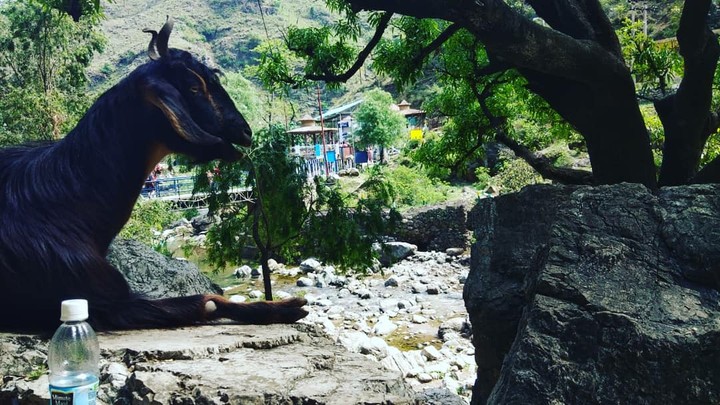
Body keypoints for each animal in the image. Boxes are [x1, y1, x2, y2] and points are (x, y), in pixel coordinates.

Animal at [0, 17, 308, 332]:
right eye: (194, 87)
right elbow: (206, 301)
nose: (246, 132)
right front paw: (285, 307)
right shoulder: (100, 303)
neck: (65, 203)